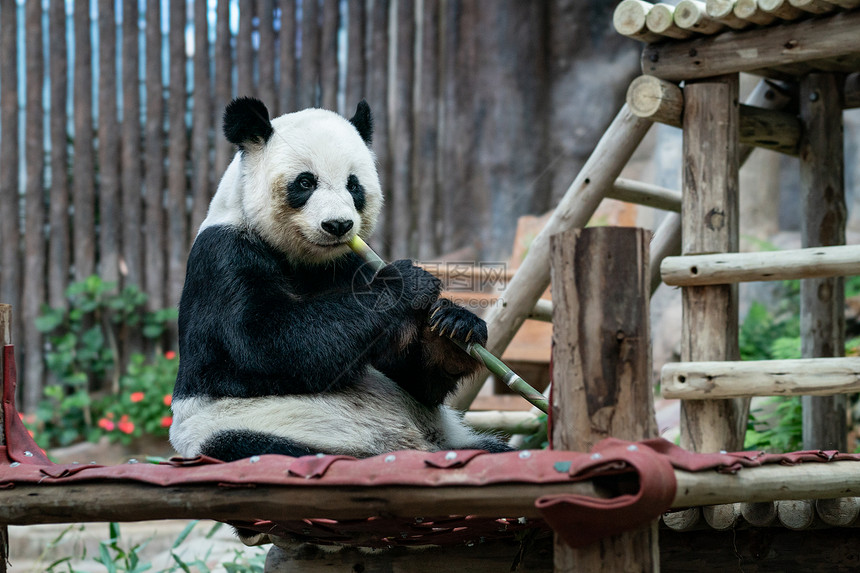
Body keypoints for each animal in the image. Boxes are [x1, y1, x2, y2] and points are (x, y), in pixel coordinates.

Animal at [171, 97, 512, 460]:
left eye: (354, 185)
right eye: (305, 182)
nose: (338, 225)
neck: (304, 259)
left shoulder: (349, 262)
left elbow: (413, 378)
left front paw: (453, 324)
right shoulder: (225, 257)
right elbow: (262, 342)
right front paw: (407, 281)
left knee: (489, 447)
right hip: (242, 427)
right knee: (264, 446)